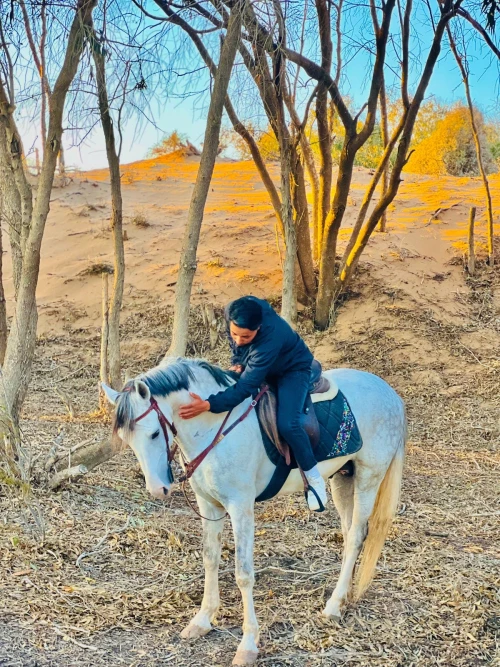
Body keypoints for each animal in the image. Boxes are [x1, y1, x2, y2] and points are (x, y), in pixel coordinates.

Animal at [102, 360, 406, 667]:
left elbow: (244, 574)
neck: (214, 427)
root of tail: (390, 393)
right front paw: (202, 620)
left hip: (369, 476)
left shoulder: (240, 506)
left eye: (154, 433)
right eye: (128, 440)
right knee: (349, 535)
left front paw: (248, 644)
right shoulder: (208, 505)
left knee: (356, 535)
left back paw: (333, 606)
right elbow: (210, 559)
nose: (158, 489)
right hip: (343, 477)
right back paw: (342, 596)